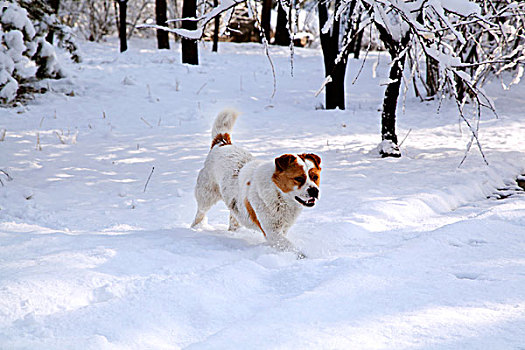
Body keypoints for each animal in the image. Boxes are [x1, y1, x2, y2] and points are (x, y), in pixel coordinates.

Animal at [188, 108, 320, 258]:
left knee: (233, 218)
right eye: (299, 178)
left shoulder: (281, 229)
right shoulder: (272, 232)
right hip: (206, 195)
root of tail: (221, 143)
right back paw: (195, 229)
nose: (314, 190)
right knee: (200, 214)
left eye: (315, 177)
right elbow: (292, 248)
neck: (279, 195)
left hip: (234, 203)